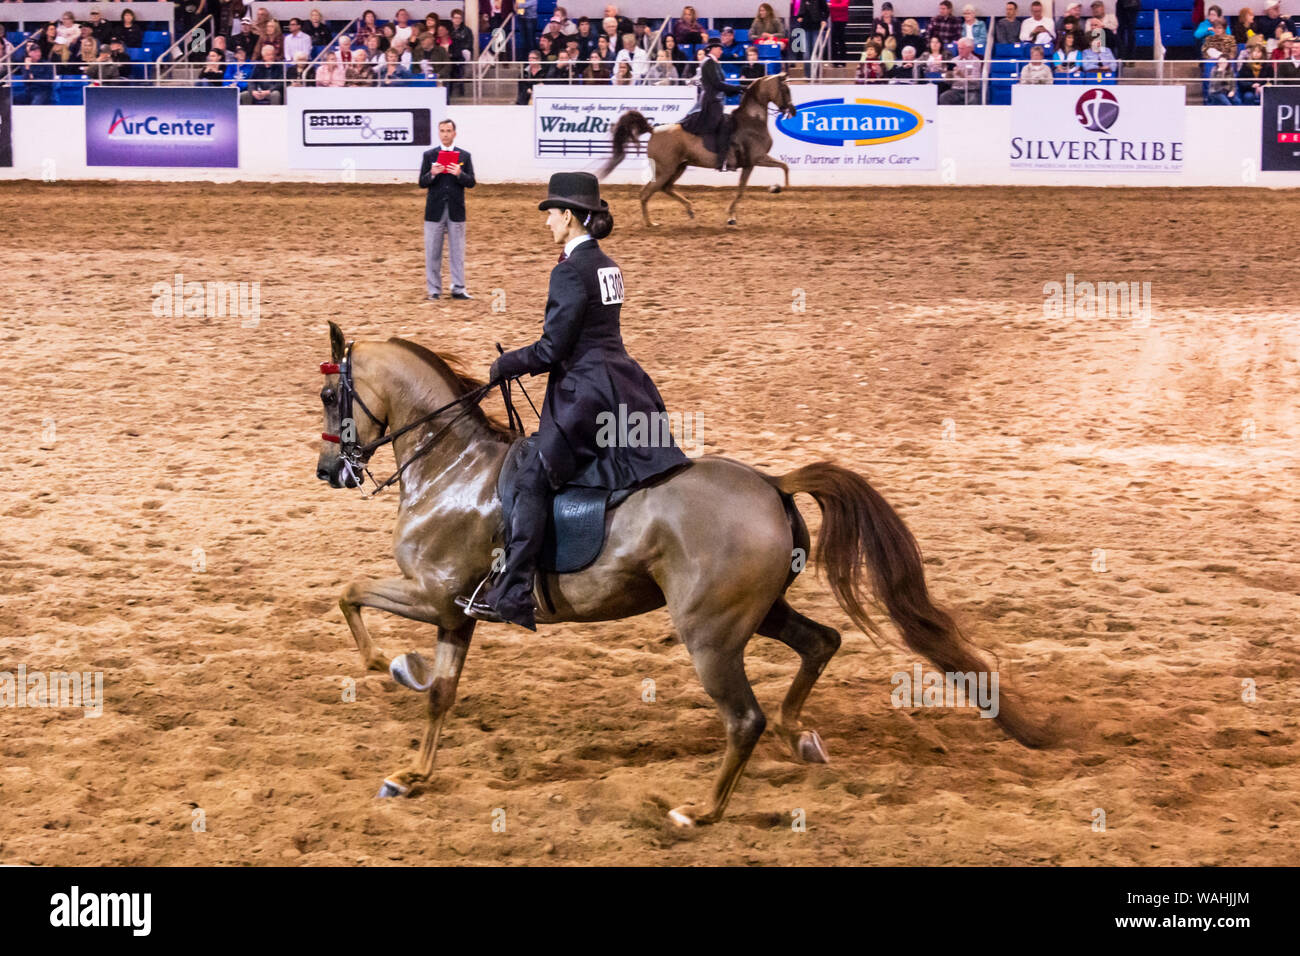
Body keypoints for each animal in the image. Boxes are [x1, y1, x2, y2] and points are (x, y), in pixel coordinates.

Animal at [317, 323, 1055, 832]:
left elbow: (348, 593)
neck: (453, 467)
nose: (330, 473)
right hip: (758, 612)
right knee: (821, 645)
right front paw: (411, 772)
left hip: (710, 636)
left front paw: (389, 664)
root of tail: (772, 483)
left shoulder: (436, 597)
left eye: (330, 394)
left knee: (745, 719)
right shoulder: (456, 613)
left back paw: (699, 812)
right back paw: (800, 736)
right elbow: (439, 692)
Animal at [603, 71, 795, 228]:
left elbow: (780, 168)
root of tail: (654, 130)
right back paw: (651, 223)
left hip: (679, 167)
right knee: (646, 193)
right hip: (665, 170)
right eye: (785, 89)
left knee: (666, 188)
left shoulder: (753, 162)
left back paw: (689, 210)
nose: (792, 111)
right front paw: (781, 188)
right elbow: (756, 182)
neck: (752, 121)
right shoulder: (756, 159)